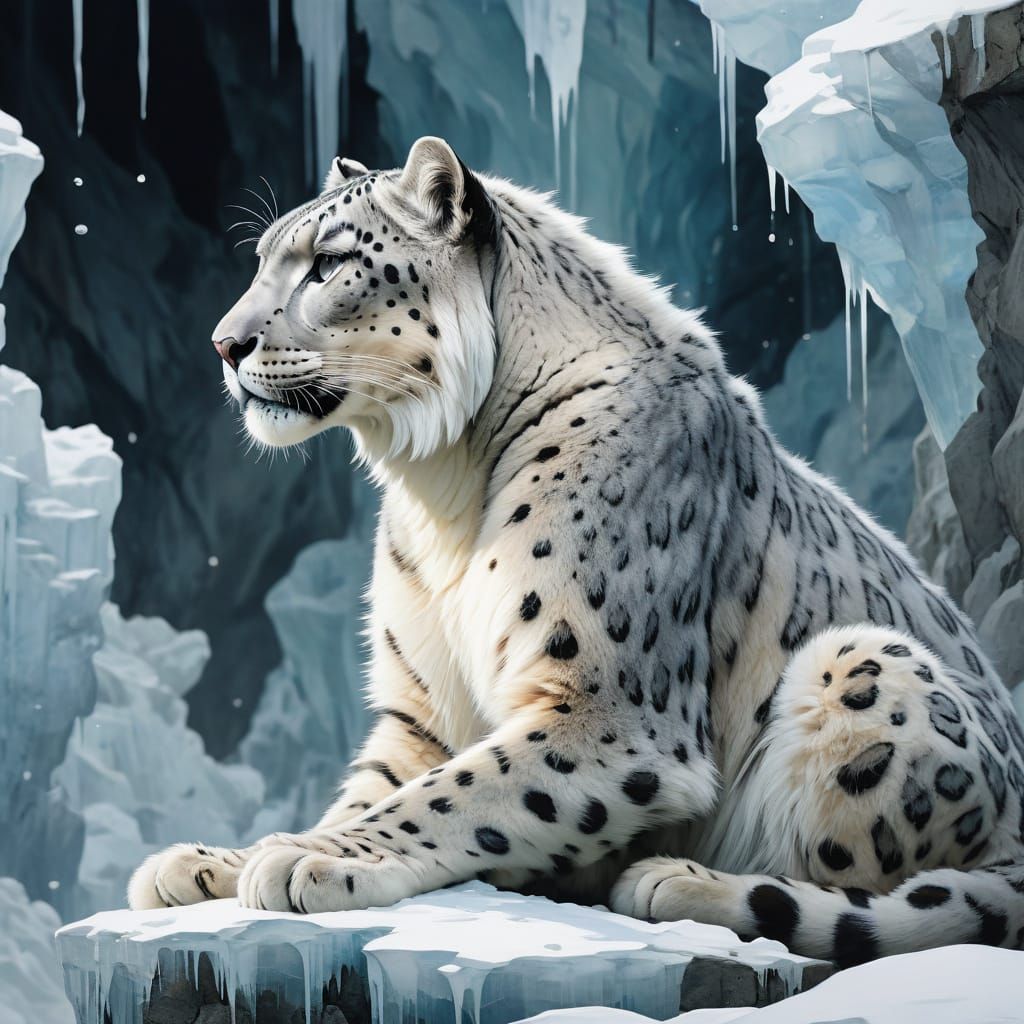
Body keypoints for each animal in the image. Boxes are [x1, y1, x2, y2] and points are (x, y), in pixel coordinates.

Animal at [129, 137, 1024, 967]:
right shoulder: (419, 711)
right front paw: (216, 860)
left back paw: (673, 880)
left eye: (328, 264)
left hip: (864, 664)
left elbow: (454, 795)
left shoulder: (608, 707)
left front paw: (306, 859)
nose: (224, 344)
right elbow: (382, 790)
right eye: (263, 259)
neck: (438, 490)